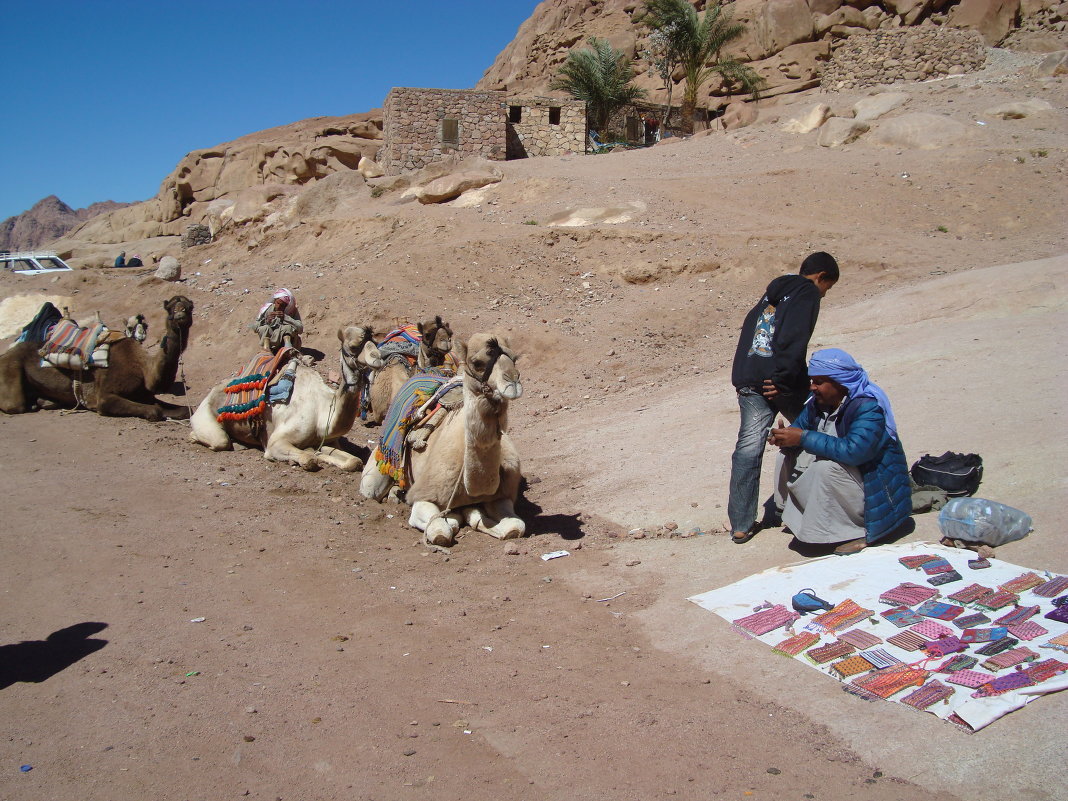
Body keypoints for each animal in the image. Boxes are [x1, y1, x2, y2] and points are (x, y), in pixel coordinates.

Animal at [0, 294, 195, 420]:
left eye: (189, 307)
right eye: (170, 308)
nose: (180, 314)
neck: (143, 368)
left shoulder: (144, 394)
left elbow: (185, 410)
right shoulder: (104, 397)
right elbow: (155, 411)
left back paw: (45, 402)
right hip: (10, 370)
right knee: (14, 405)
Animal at [192, 326, 384, 469]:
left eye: (374, 342)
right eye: (354, 346)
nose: (378, 358)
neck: (322, 412)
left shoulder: (331, 441)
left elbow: (354, 461)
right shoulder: (275, 443)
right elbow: (308, 458)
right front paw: (306, 456)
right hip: (207, 418)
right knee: (219, 440)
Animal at [360, 331, 523, 546]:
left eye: (514, 358)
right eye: (477, 362)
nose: (513, 381)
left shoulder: (503, 495)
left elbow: (515, 526)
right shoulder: (424, 496)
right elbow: (441, 531)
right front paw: (455, 518)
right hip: (376, 471)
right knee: (371, 488)